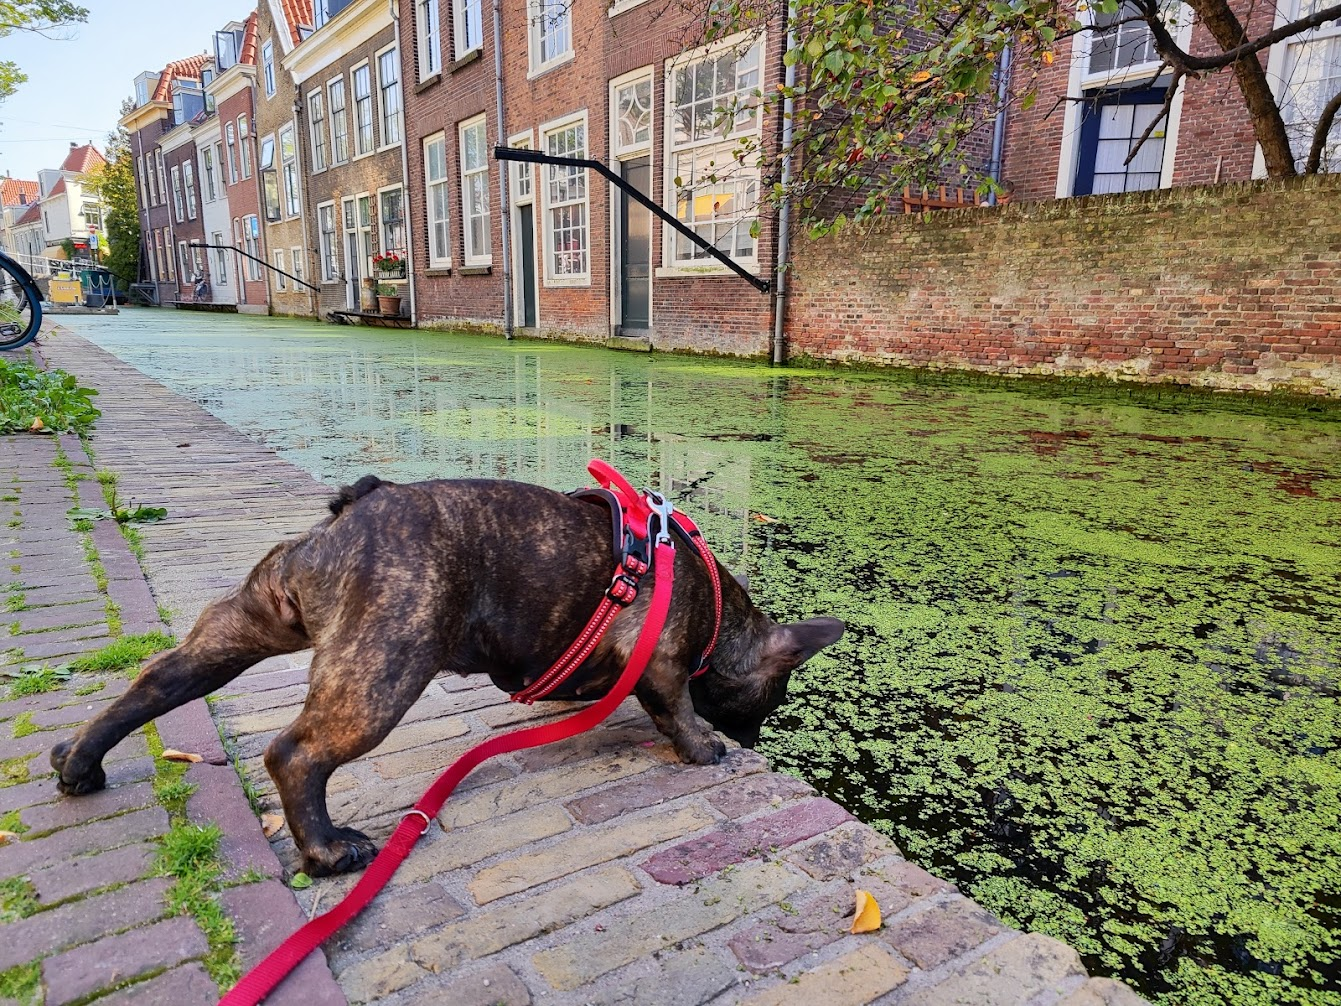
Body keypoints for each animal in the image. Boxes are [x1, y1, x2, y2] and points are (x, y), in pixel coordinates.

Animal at [50, 476, 844, 876]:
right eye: (773, 700)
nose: (754, 738)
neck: (720, 611)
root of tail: (349, 513)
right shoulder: (666, 659)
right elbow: (674, 707)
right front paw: (703, 748)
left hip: (245, 623)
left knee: (157, 681)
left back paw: (78, 760)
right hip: (387, 667)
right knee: (295, 753)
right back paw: (327, 850)